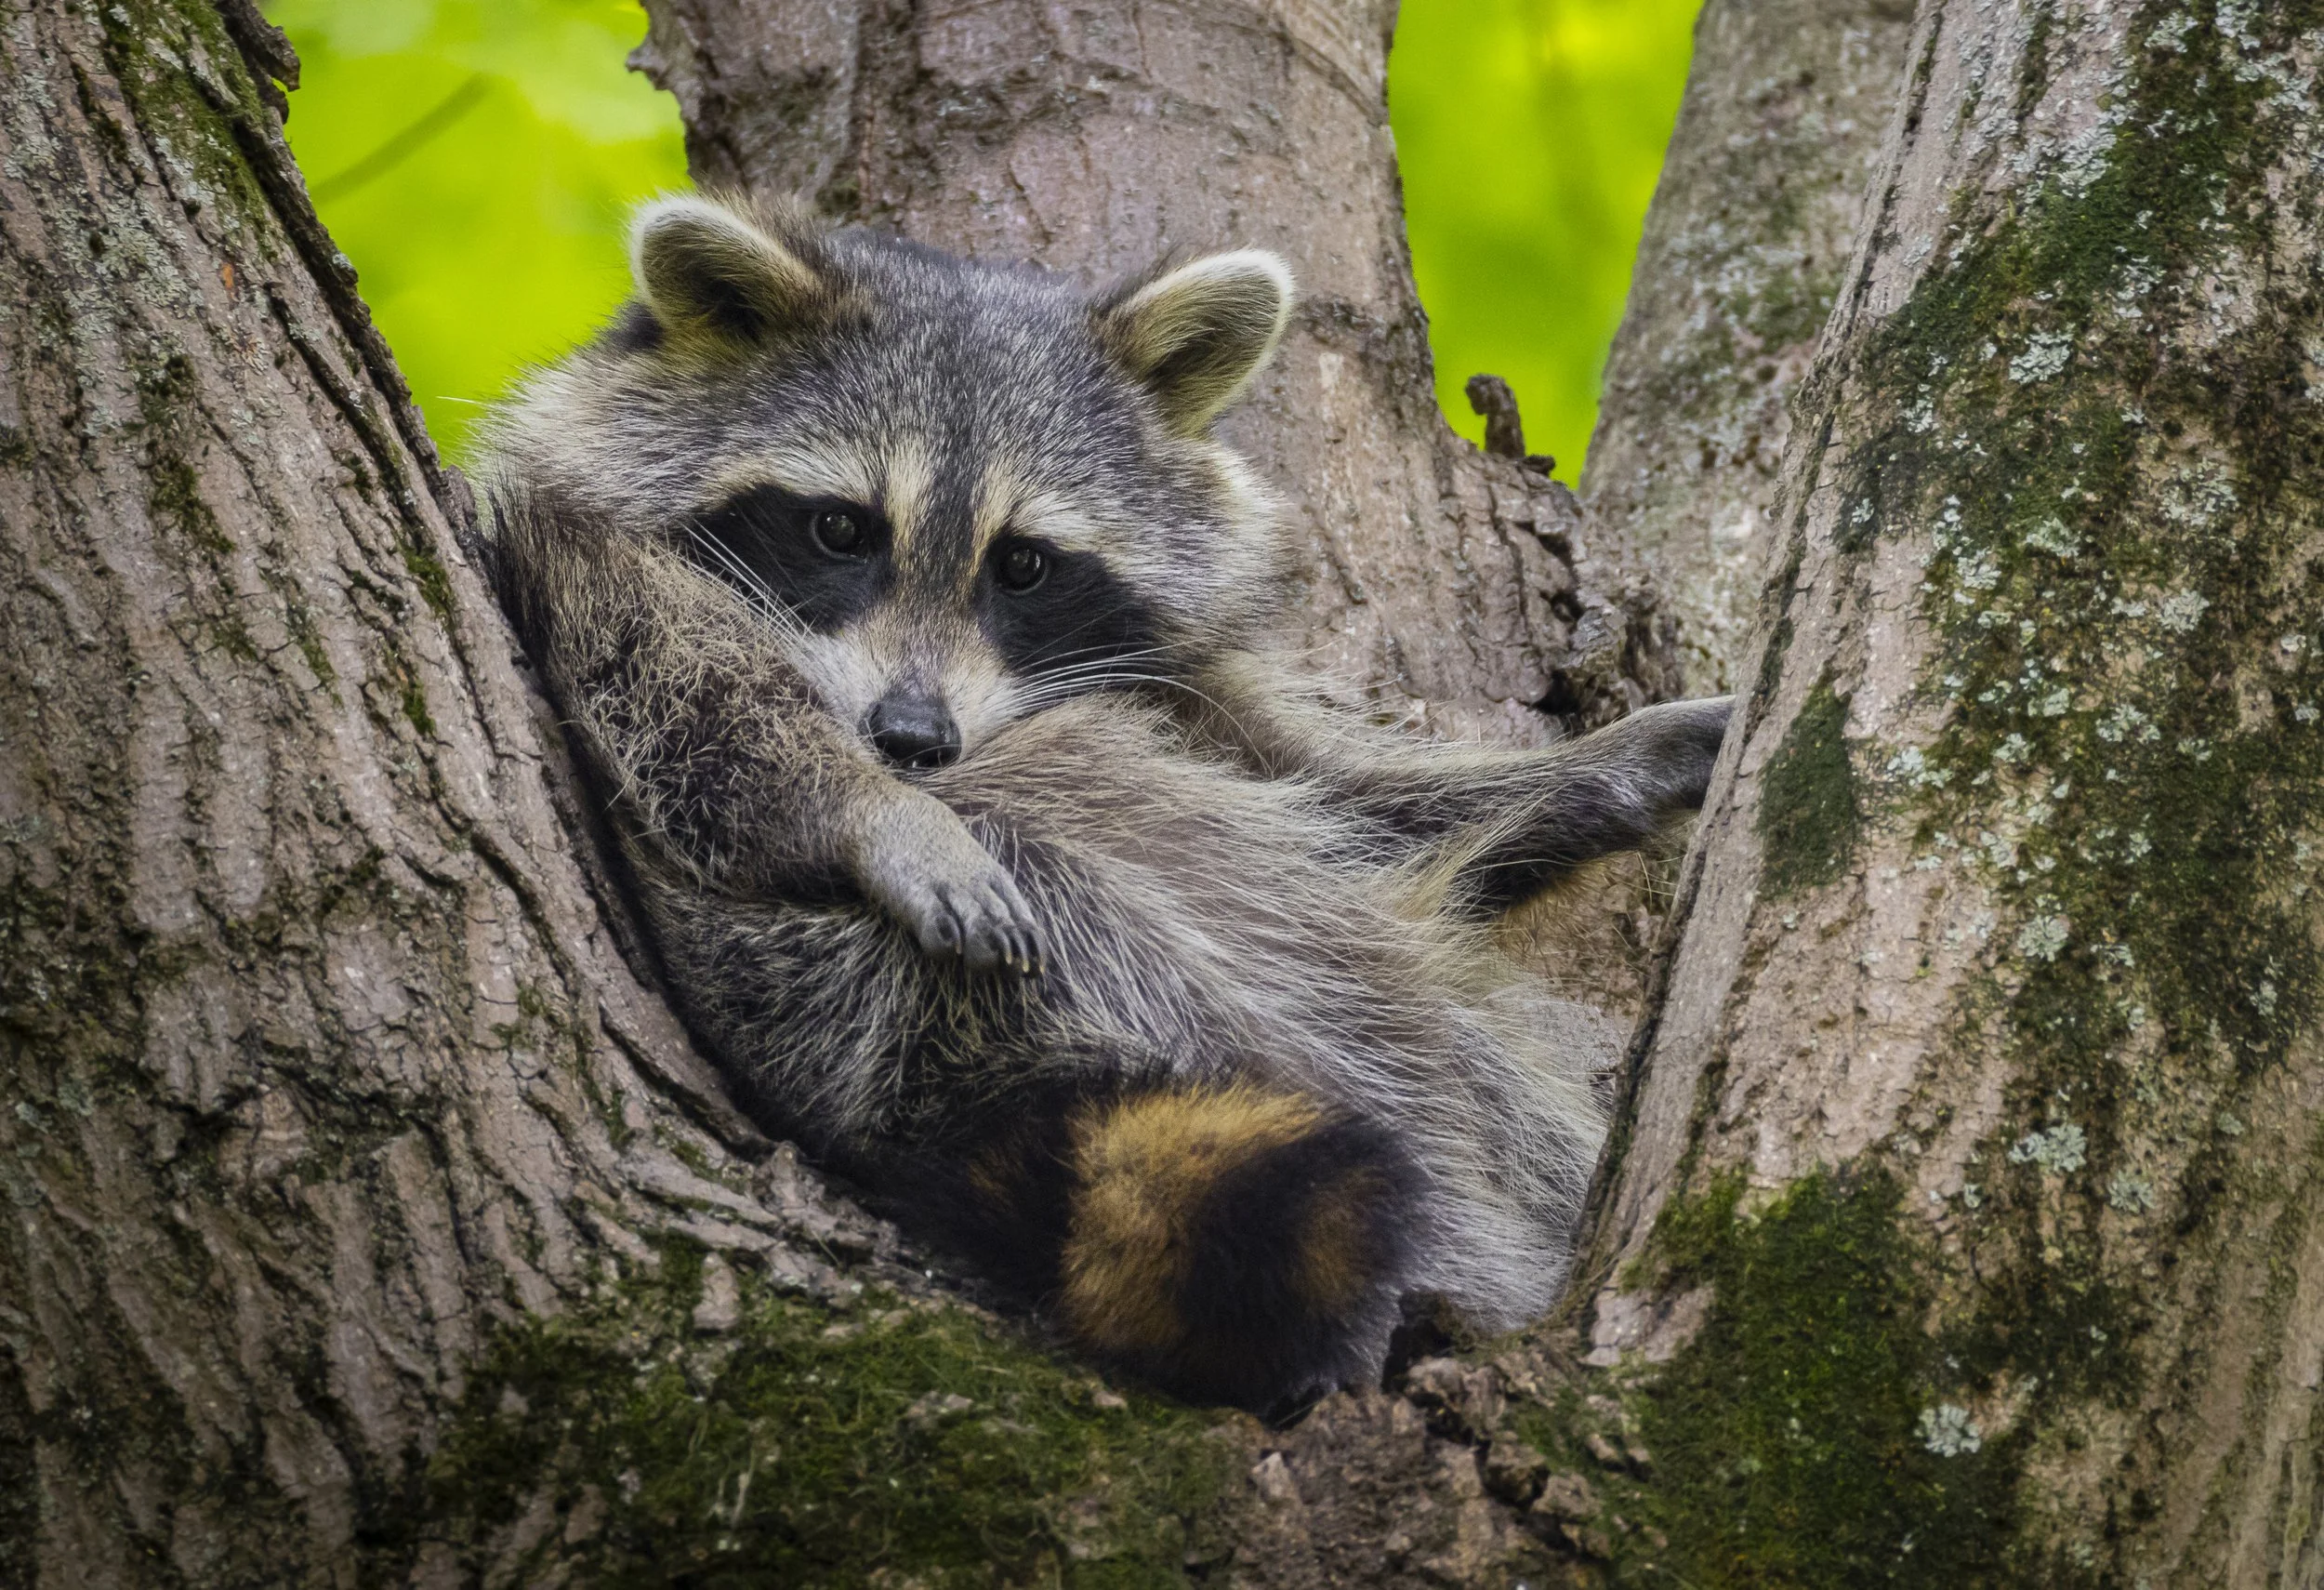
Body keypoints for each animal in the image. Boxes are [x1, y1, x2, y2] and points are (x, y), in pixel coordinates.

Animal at [478, 193, 1730, 1417]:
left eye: (1023, 564)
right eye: (838, 528)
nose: (911, 743)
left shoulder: (1181, 690)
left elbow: (1350, 803)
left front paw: (1599, 770)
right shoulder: (566, 557)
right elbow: (681, 687)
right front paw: (871, 810)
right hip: (913, 1001)